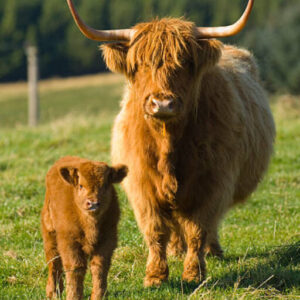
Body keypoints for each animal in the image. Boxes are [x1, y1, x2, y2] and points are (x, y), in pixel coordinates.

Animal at [40, 157, 127, 300]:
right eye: (81, 185)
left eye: (105, 185)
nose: (93, 203)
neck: (90, 225)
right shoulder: (69, 242)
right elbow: (75, 268)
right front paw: (73, 296)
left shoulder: (107, 240)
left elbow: (99, 267)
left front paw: (99, 296)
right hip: (50, 233)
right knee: (53, 261)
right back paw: (53, 292)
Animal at [67, 0, 276, 288]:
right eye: (140, 64)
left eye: (185, 63)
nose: (162, 103)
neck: (168, 145)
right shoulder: (142, 186)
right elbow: (155, 230)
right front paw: (155, 276)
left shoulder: (213, 183)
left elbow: (199, 228)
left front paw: (194, 273)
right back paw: (177, 250)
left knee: (207, 224)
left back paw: (212, 250)